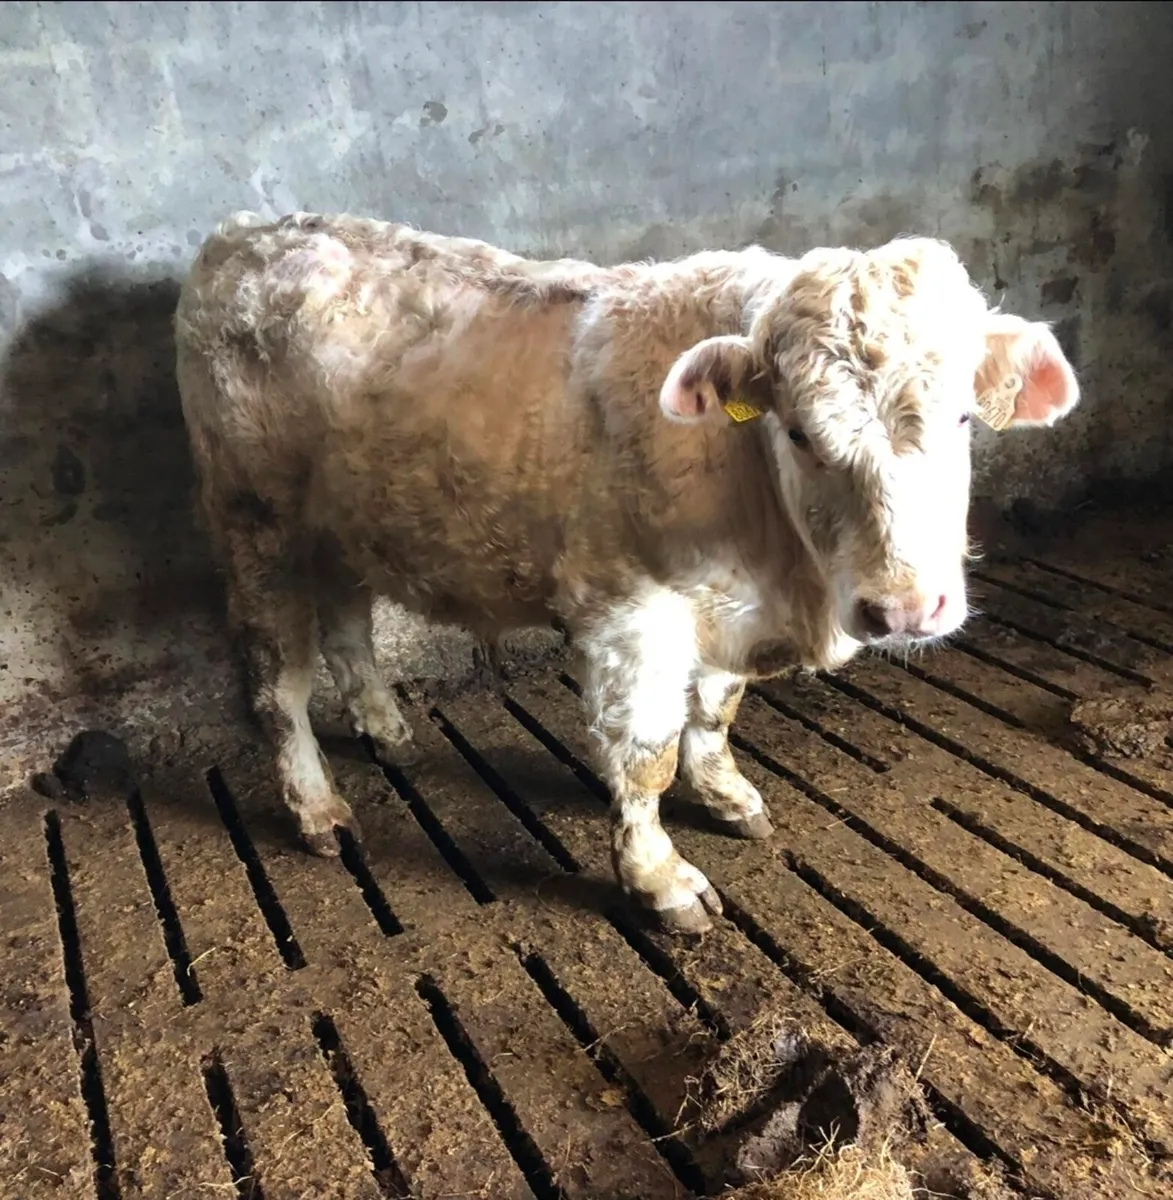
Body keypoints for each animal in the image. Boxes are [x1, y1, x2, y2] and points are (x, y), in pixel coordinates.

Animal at [174, 211, 1079, 934]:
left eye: (961, 418)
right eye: (797, 433)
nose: (904, 609)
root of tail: (247, 230)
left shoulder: (726, 609)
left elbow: (714, 713)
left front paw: (725, 792)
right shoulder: (629, 614)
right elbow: (644, 752)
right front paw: (658, 877)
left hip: (341, 523)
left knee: (348, 625)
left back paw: (383, 725)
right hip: (254, 523)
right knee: (277, 678)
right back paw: (314, 804)